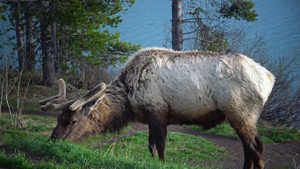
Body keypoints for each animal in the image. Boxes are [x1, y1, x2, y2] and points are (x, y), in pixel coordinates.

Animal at [39, 47, 274, 169]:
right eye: (58, 119)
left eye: (73, 121)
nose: (53, 140)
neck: (128, 98)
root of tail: (269, 78)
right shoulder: (150, 117)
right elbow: (150, 147)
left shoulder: (158, 111)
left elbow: (160, 147)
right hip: (242, 117)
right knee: (251, 148)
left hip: (240, 112)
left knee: (256, 147)